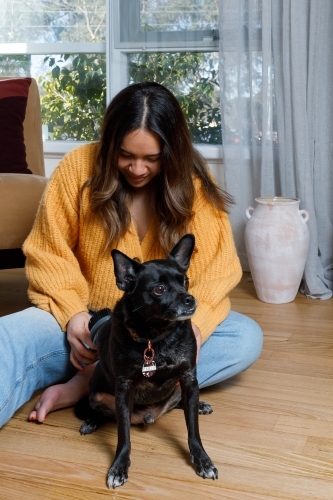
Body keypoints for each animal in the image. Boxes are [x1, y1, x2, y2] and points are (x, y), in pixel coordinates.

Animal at [78, 233, 218, 488]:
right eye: (159, 289)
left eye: (185, 281)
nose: (190, 299)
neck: (156, 337)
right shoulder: (124, 389)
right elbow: (123, 436)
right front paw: (119, 467)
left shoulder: (188, 379)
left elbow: (193, 430)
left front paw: (202, 459)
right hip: (97, 394)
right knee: (101, 410)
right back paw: (91, 420)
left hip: (182, 388)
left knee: (183, 403)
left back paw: (199, 405)